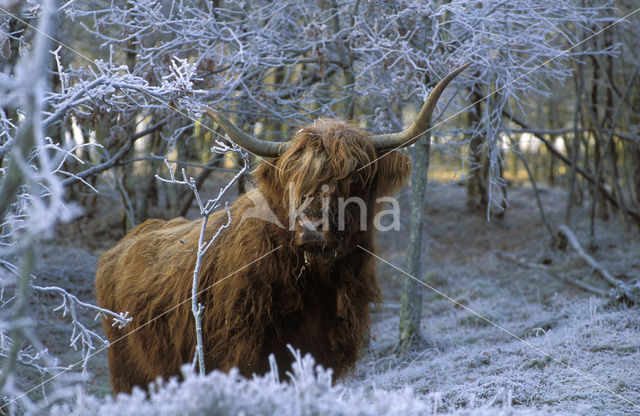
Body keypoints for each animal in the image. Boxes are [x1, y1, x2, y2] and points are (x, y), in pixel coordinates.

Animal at [95, 64, 468, 394]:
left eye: (354, 178)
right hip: (129, 373)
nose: (312, 229)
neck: (318, 285)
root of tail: (120, 247)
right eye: (294, 179)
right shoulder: (243, 358)